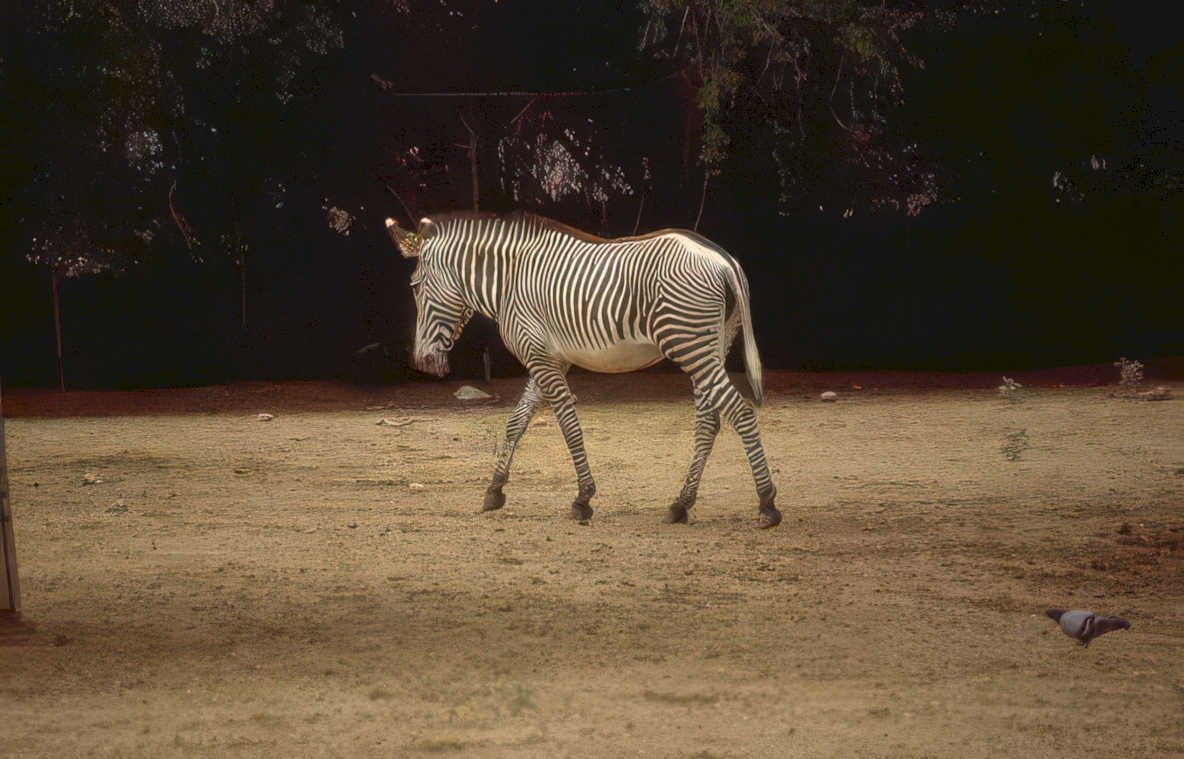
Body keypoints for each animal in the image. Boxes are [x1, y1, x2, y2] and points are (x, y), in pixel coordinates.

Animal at [384, 212, 780, 528]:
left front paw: (583, 498)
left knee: (741, 413)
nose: (421, 362)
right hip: (710, 346)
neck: (509, 282)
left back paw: (766, 504)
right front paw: (495, 489)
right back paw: (681, 504)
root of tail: (723, 258)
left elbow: (567, 424)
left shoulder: (540, 356)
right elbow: (516, 422)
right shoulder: (547, 357)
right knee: (708, 424)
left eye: (415, 287)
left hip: (689, 345)